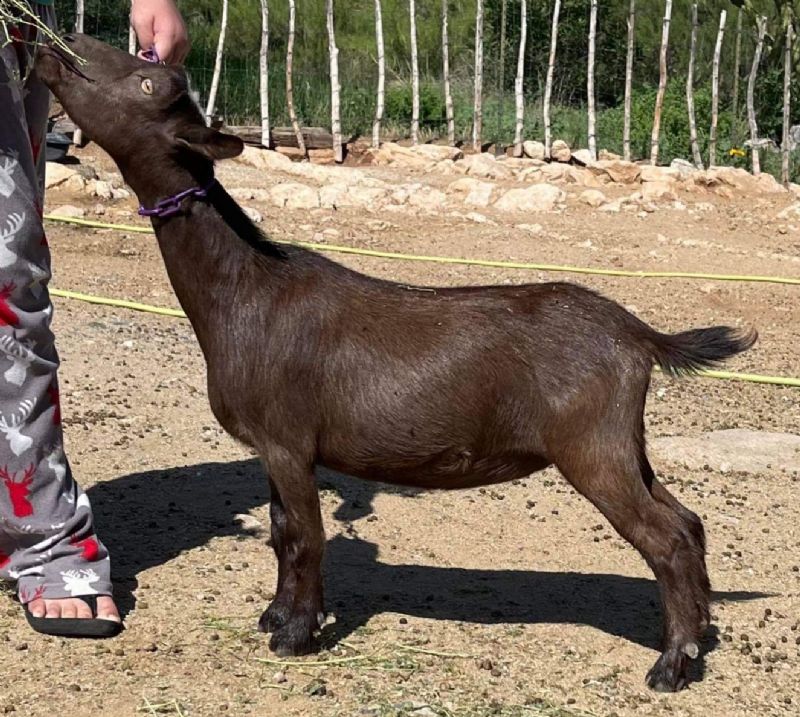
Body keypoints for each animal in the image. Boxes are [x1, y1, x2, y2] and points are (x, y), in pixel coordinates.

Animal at [37, 36, 760, 692]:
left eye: (149, 82)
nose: (57, 43)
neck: (244, 290)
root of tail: (637, 333)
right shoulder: (273, 448)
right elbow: (280, 531)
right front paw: (276, 615)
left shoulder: (288, 441)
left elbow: (306, 535)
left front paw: (297, 636)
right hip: (622, 441)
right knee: (687, 521)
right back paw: (698, 639)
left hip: (591, 446)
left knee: (666, 538)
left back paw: (670, 666)